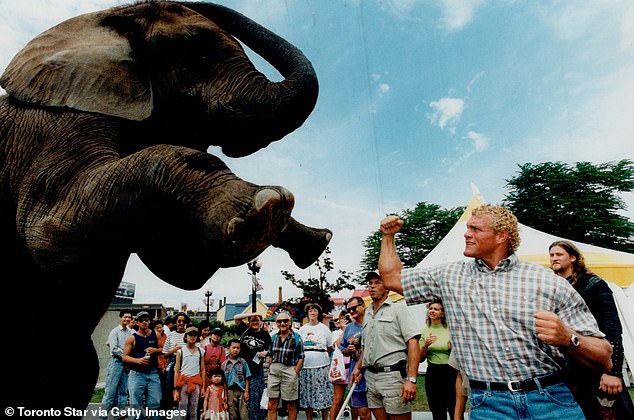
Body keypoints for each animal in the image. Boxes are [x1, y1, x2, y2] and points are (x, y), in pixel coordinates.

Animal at [0, 0, 328, 414]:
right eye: (193, 53)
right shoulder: (52, 127)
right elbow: (50, 234)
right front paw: (266, 208)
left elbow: (179, 264)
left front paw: (304, 232)